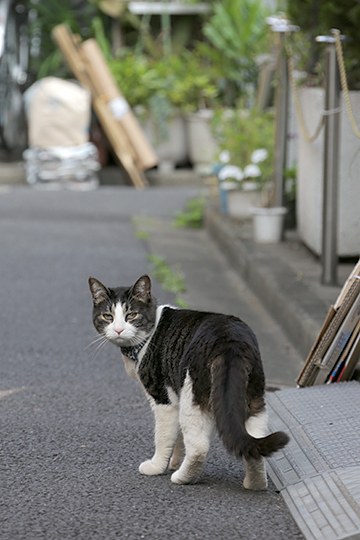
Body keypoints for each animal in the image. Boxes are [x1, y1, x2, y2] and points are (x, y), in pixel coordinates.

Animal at [88, 274, 288, 490]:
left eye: (131, 315)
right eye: (107, 316)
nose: (118, 330)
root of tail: (231, 341)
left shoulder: (163, 399)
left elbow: (164, 436)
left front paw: (158, 466)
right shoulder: (175, 394)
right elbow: (178, 438)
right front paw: (174, 461)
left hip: (192, 397)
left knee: (199, 447)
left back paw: (182, 478)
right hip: (253, 397)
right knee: (254, 443)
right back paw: (254, 484)